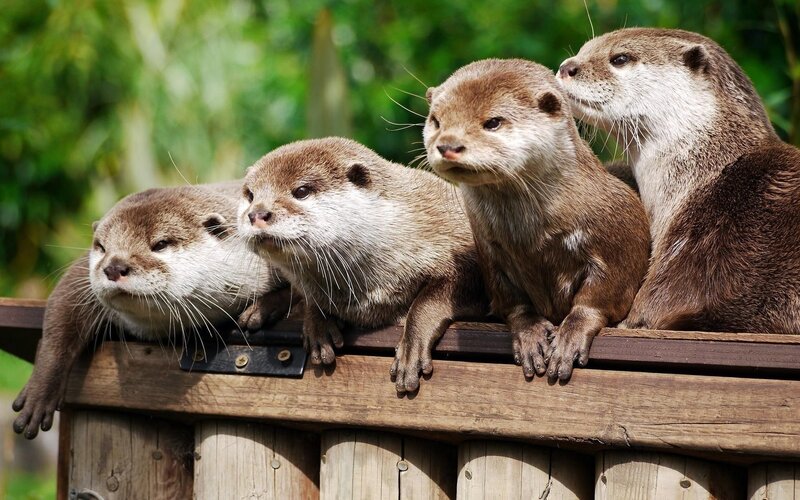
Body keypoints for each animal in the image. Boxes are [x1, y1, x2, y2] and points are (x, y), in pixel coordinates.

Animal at [13, 183, 290, 439]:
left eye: (161, 244)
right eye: (101, 247)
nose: (114, 266)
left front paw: (261, 309)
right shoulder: (81, 277)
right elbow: (62, 312)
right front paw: (39, 392)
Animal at [238, 137, 488, 393]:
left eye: (301, 191)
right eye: (250, 195)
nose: (257, 213)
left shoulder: (462, 249)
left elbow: (430, 300)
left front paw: (411, 349)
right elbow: (309, 296)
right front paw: (318, 324)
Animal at [424, 59, 649, 380]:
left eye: (493, 122)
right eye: (436, 121)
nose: (448, 145)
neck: (532, 240)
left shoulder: (620, 238)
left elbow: (599, 297)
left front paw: (570, 337)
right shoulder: (490, 251)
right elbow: (511, 301)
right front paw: (529, 334)